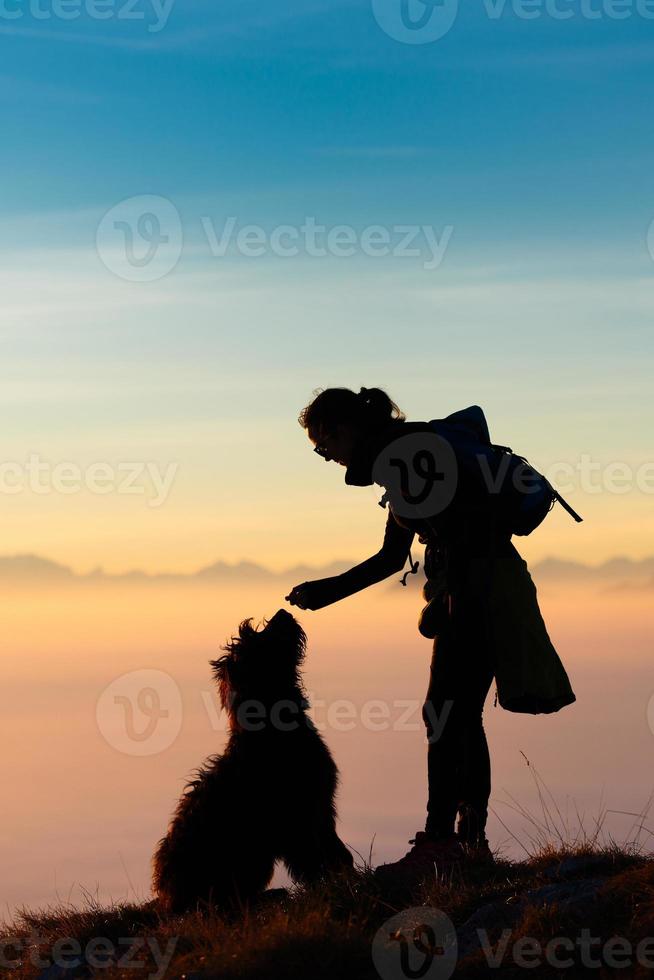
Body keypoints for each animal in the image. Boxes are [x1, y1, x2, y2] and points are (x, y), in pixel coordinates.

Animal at [153, 604, 354, 912]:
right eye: (256, 637)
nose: (283, 610)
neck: (271, 728)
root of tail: (171, 900)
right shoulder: (298, 817)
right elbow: (313, 860)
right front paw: (329, 888)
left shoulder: (320, 808)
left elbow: (335, 849)